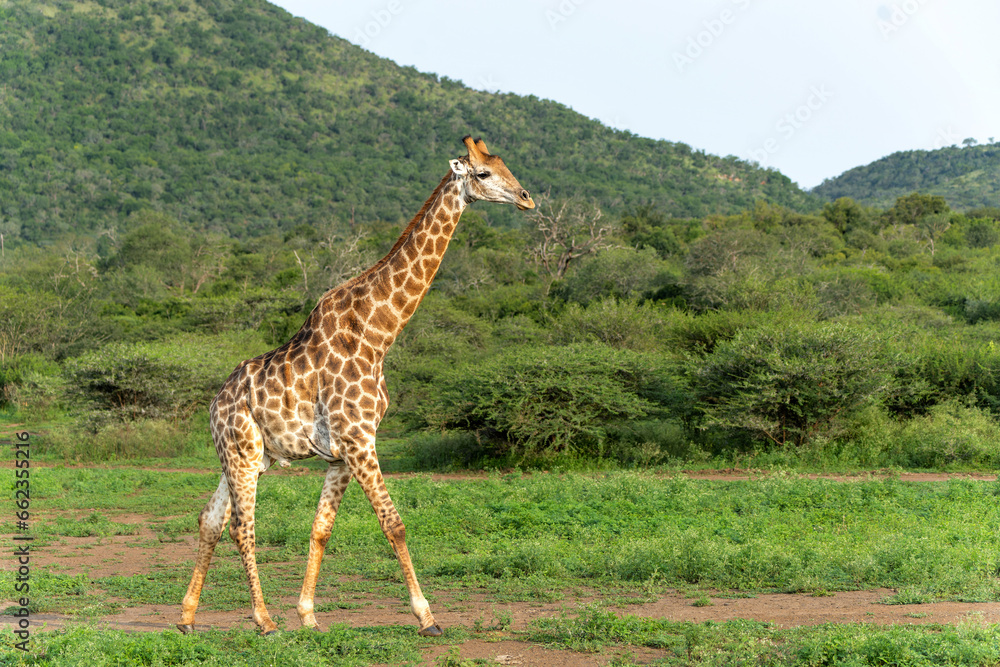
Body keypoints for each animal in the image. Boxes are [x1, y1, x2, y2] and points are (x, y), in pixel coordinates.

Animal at [177, 136, 533, 637]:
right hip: (242, 453)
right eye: (482, 174)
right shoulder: (360, 441)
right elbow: (394, 524)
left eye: (503, 164)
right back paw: (263, 621)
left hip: (247, 455)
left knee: (210, 519)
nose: (526, 198)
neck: (379, 332)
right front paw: (427, 617)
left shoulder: (345, 451)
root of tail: (214, 403)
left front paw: (308, 616)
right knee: (240, 527)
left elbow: (321, 529)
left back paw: (187, 617)